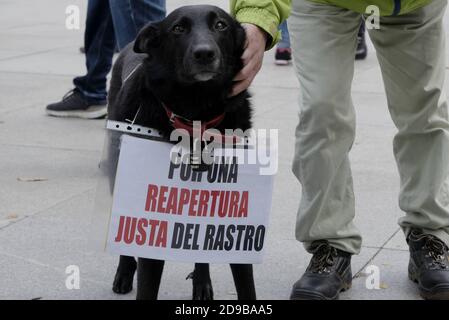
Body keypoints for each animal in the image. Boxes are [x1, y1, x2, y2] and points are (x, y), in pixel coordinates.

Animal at [107, 4, 256, 300]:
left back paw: (202, 282)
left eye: (221, 25)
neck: (197, 112)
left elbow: (246, 284)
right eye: (178, 28)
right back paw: (124, 273)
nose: (204, 53)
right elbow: (148, 282)